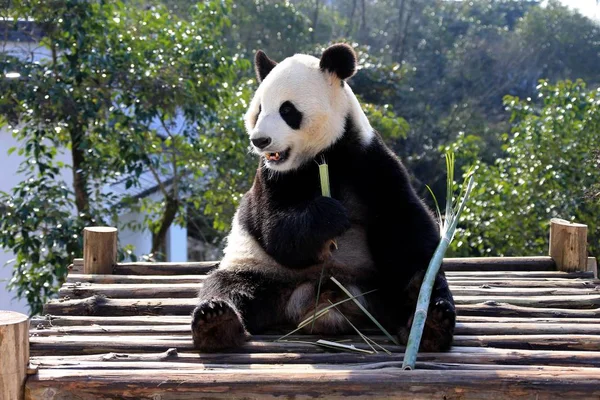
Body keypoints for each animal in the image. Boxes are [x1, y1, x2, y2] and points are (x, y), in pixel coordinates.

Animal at [192, 42, 454, 352]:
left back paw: (429, 321)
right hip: (263, 272)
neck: (322, 156)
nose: (260, 140)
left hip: (372, 282)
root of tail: (318, 303)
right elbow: (274, 230)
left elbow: (403, 221)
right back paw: (217, 323)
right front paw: (330, 215)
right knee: (229, 285)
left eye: (287, 110)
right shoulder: (269, 178)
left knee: (414, 285)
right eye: (259, 110)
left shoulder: (369, 159)